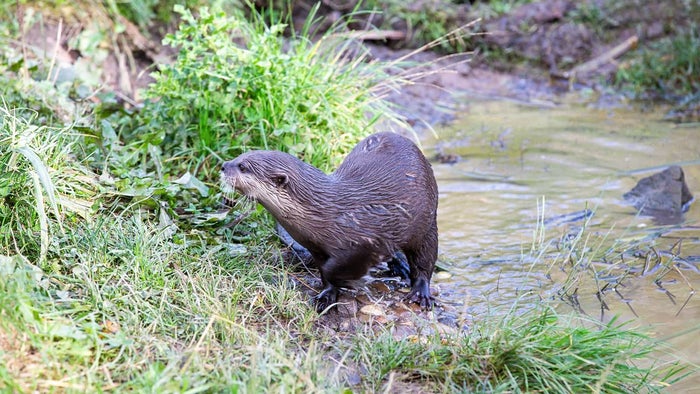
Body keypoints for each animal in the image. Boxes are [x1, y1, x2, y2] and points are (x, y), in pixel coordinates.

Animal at [221, 133, 438, 314]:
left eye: (243, 167)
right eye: (239, 156)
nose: (223, 165)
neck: (325, 212)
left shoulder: (366, 242)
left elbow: (332, 268)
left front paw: (351, 281)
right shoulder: (316, 248)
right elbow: (324, 272)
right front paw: (327, 295)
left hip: (427, 223)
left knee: (425, 261)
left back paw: (420, 292)